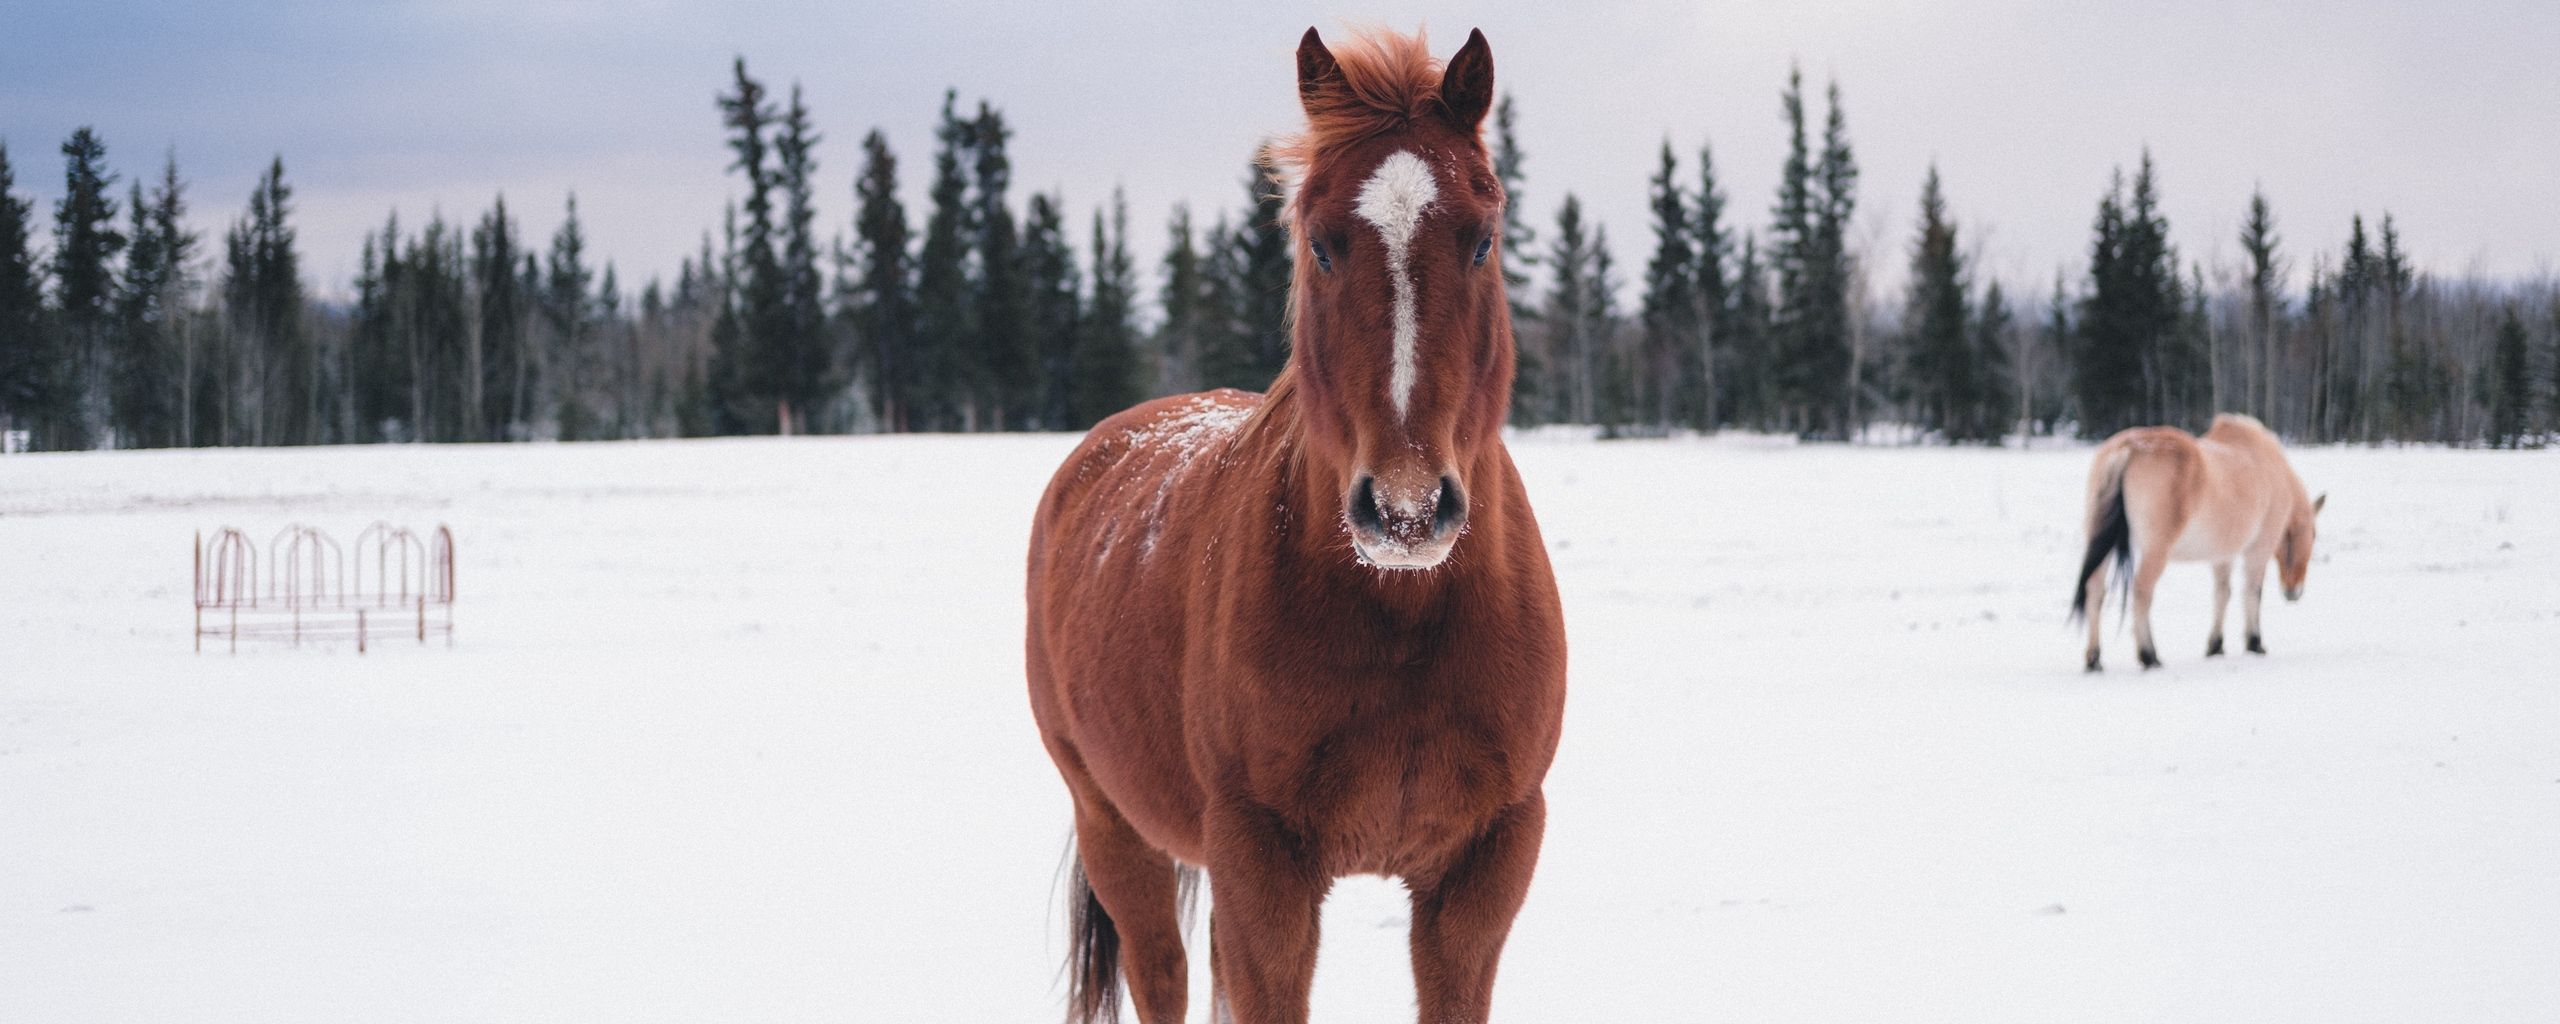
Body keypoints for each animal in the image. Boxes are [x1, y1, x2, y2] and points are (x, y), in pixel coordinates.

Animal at [1023, 26, 1565, 1024]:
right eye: (1320, 242)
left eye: (1483, 240)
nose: (1405, 508)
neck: (1401, 620)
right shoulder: (1260, 866)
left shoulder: (1484, 867)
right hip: (1115, 825)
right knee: (1163, 975)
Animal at [2070, 413, 2324, 670]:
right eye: (2312, 534)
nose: (2294, 592)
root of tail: (2129, 448)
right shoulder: (2258, 550)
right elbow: (2252, 593)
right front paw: (2254, 643)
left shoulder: (2222, 555)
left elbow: (2223, 593)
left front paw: (2216, 646)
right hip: (2156, 551)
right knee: (2141, 591)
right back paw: (2149, 655)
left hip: (2103, 545)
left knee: (2094, 590)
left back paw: (2094, 659)